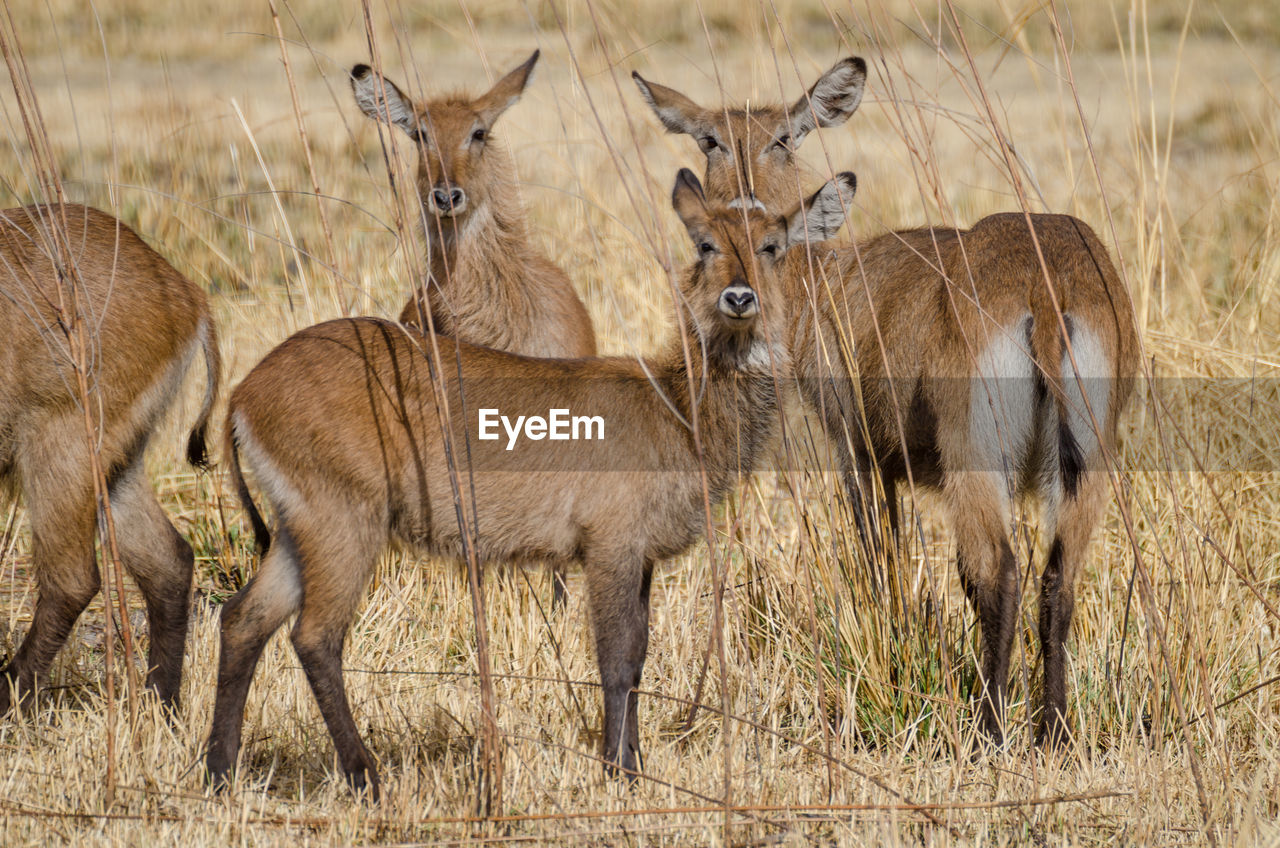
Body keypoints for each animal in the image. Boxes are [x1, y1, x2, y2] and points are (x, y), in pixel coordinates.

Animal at [0, 204, 221, 717]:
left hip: (60, 446)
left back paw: (9, 699)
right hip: (117, 462)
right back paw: (163, 706)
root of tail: (186, 293)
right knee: (169, 560)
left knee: (73, 580)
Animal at [202, 169, 860, 799]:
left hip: (299, 528)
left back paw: (219, 773)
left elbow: (639, 657)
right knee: (315, 636)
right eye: (706, 243)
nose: (739, 297)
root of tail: (244, 392)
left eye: (772, 246)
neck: (675, 406)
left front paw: (633, 765)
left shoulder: (641, 555)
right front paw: (619, 774)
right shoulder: (610, 546)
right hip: (344, 522)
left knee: (243, 619)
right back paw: (366, 778)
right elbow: (616, 657)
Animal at [640, 63, 1141, 748]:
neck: (826, 272)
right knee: (1056, 581)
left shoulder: (856, 450)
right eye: (711, 138)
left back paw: (989, 731)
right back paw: (1054, 734)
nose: (741, 199)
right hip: (1084, 460)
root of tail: (1046, 284)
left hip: (976, 456)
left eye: (783, 137)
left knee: (999, 574)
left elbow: (881, 559)